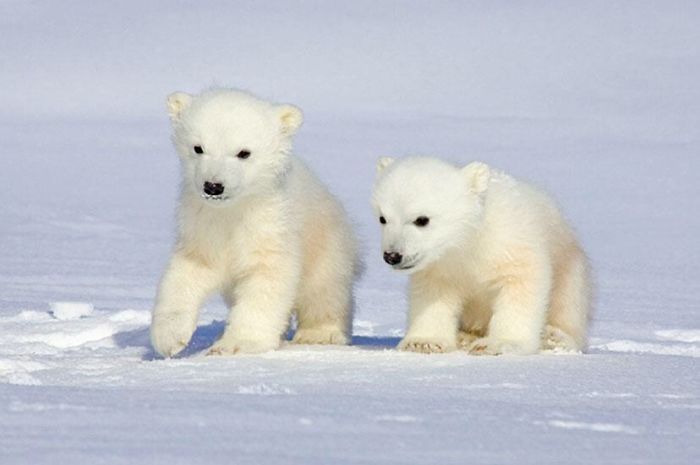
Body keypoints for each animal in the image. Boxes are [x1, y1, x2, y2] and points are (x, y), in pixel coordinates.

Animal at [150, 88, 359, 357]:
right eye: (198, 148)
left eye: (244, 153)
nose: (213, 186)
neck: (233, 211)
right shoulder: (202, 225)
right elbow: (186, 272)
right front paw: (169, 338)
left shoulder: (270, 227)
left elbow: (266, 280)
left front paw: (235, 344)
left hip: (326, 242)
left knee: (324, 290)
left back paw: (320, 334)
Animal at [371, 156, 591, 355]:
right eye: (382, 218)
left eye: (422, 219)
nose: (392, 255)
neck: (469, 241)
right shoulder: (440, 266)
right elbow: (433, 293)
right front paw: (423, 343)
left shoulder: (510, 243)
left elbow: (520, 285)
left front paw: (498, 344)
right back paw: (464, 337)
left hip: (570, 269)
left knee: (568, 306)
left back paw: (553, 338)